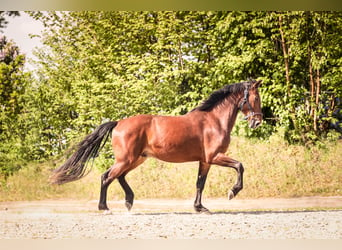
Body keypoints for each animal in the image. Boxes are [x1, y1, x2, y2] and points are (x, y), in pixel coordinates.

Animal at [51, 79, 262, 214]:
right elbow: (240, 166)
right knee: (107, 177)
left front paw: (200, 207)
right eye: (256, 98)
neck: (213, 121)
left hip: (136, 159)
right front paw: (233, 192)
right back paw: (105, 208)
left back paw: (129, 201)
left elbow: (199, 184)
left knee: (119, 176)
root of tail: (118, 123)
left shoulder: (205, 161)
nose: (257, 122)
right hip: (126, 159)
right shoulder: (214, 157)